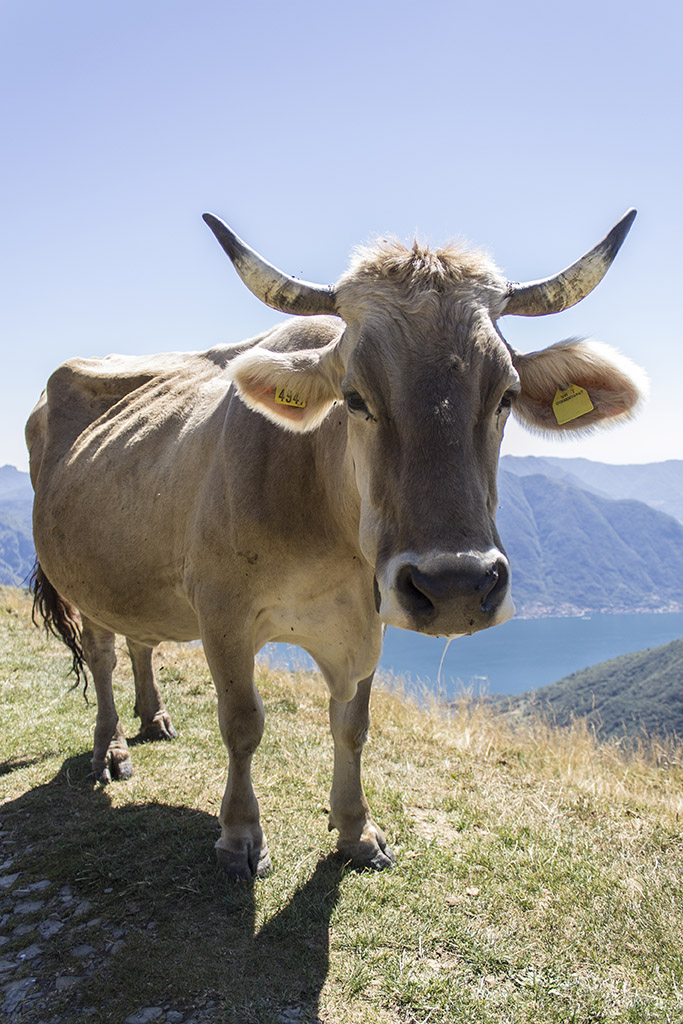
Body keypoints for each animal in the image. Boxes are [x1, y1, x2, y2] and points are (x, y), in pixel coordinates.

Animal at [27, 209, 646, 878]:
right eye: (353, 398)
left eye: (505, 395)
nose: (457, 587)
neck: (330, 542)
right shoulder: (222, 613)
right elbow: (242, 723)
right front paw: (240, 836)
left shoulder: (365, 620)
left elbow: (353, 725)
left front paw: (357, 830)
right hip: (79, 578)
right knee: (103, 655)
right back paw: (111, 748)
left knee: (141, 640)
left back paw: (155, 716)